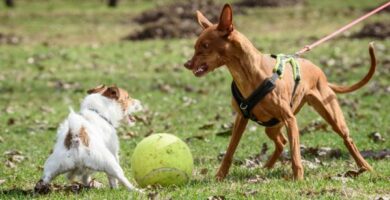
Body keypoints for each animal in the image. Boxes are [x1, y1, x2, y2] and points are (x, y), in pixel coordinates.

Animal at [184, 4, 376, 180]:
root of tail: (321, 73)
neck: (248, 74)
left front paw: (298, 179)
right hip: (272, 126)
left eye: (205, 45)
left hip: (331, 117)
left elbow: (295, 154)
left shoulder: (290, 120)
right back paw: (266, 167)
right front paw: (219, 176)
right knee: (281, 142)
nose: (187, 64)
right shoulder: (241, 118)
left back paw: (365, 167)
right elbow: (230, 151)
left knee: (347, 140)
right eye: (195, 46)